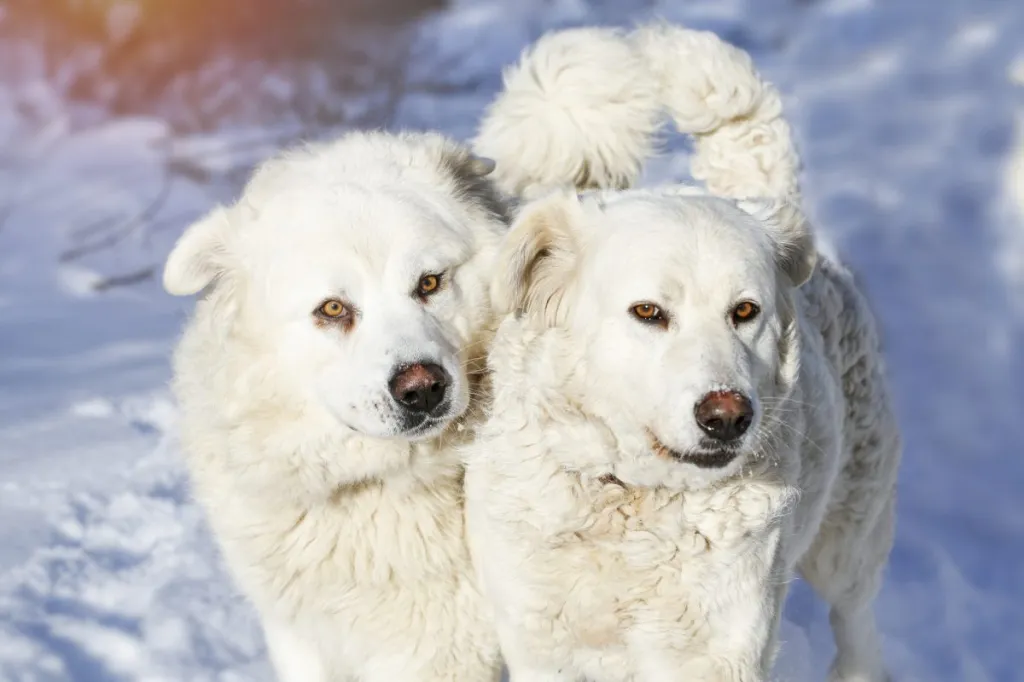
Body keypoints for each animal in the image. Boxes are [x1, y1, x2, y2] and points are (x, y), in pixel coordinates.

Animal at [160, 133, 507, 679]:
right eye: (333, 308)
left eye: (429, 283)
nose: (423, 388)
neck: (370, 488)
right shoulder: (299, 638)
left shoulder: (440, 653)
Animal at [468, 23, 901, 675]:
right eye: (649, 312)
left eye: (744, 312)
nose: (727, 416)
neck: (630, 499)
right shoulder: (543, 648)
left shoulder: (720, 653)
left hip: (848, 540)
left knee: (857, 622)